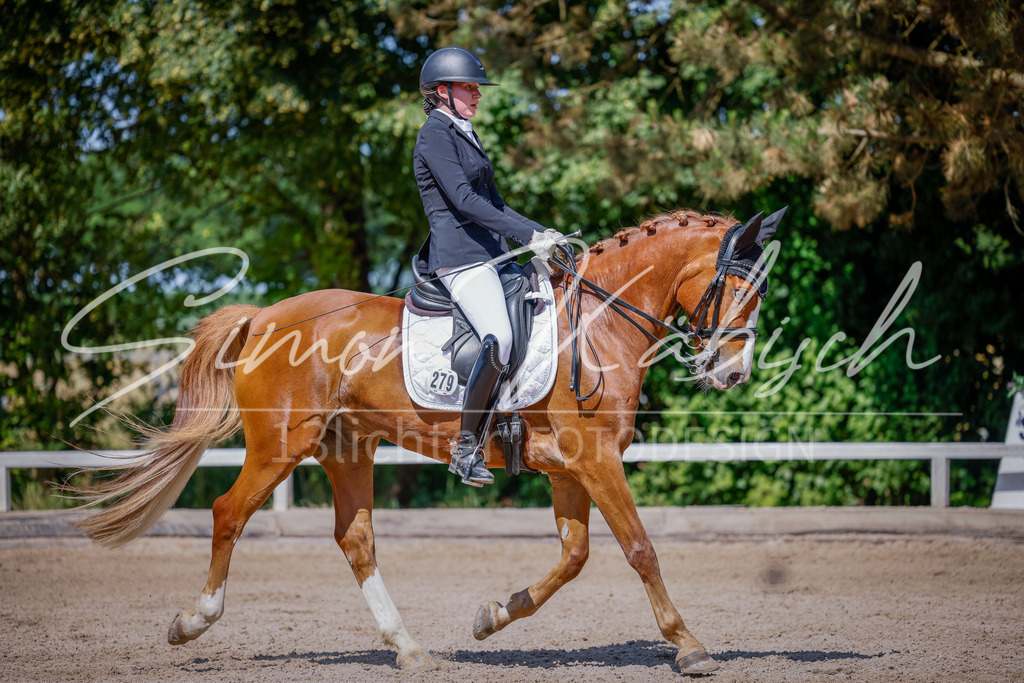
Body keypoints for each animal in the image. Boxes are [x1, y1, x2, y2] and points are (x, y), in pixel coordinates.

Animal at [72, 207, 784, 676]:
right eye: (737, 288)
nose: (733, 373)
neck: (598, 327)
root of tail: (262, 316)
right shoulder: (596, 460)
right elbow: (640, 549)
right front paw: (688, 646)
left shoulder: (569, 468)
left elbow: (576, 557)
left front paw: (493, 615)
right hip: (280, 446)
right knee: (228, 512)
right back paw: (192, 623)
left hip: (347, 449)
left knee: (354, 539)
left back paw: (409, 649)